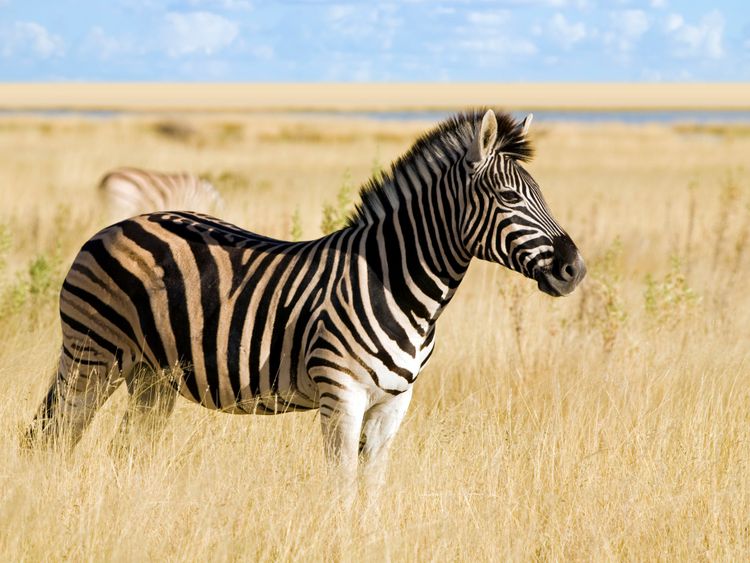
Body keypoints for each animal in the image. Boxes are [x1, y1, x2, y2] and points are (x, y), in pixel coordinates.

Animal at [26, 109, 585, 485]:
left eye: (541, 193)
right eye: (510, 197)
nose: (574, 269)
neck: (398, 284)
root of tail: (119, 223)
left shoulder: (393, 406)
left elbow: (372, 487)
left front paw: (371, 540)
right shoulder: (341, 396)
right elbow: (342, 485)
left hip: (152, 375)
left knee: (126, 449)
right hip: (93, 354)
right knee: (52, 436)